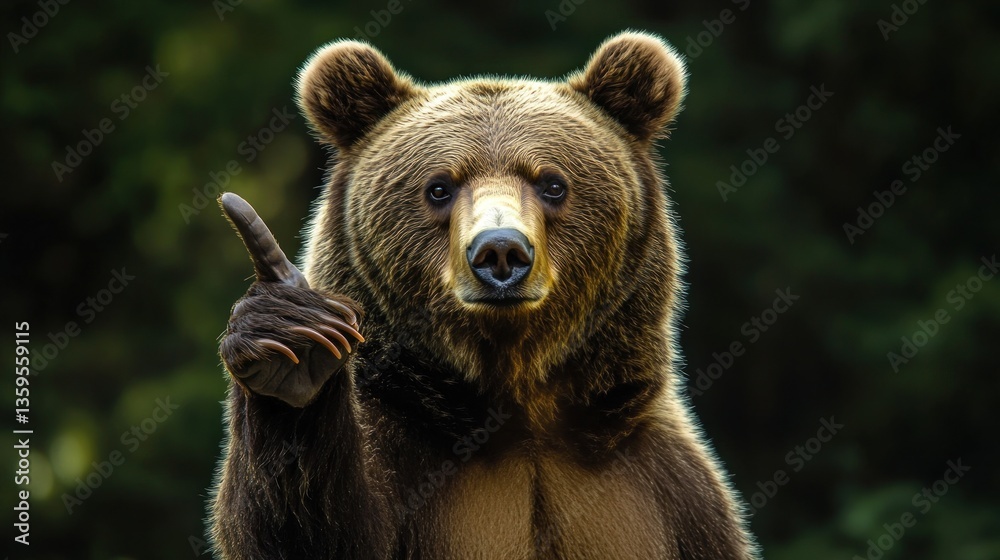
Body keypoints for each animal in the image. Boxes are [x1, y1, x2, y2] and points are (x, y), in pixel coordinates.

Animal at [209, 31, 758, 559]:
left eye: (553, 183)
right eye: (438, 187)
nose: (500, 252)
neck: (519, 403)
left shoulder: (673, 495)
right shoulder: (400, 455)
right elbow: (308, 527)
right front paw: (294, 347)